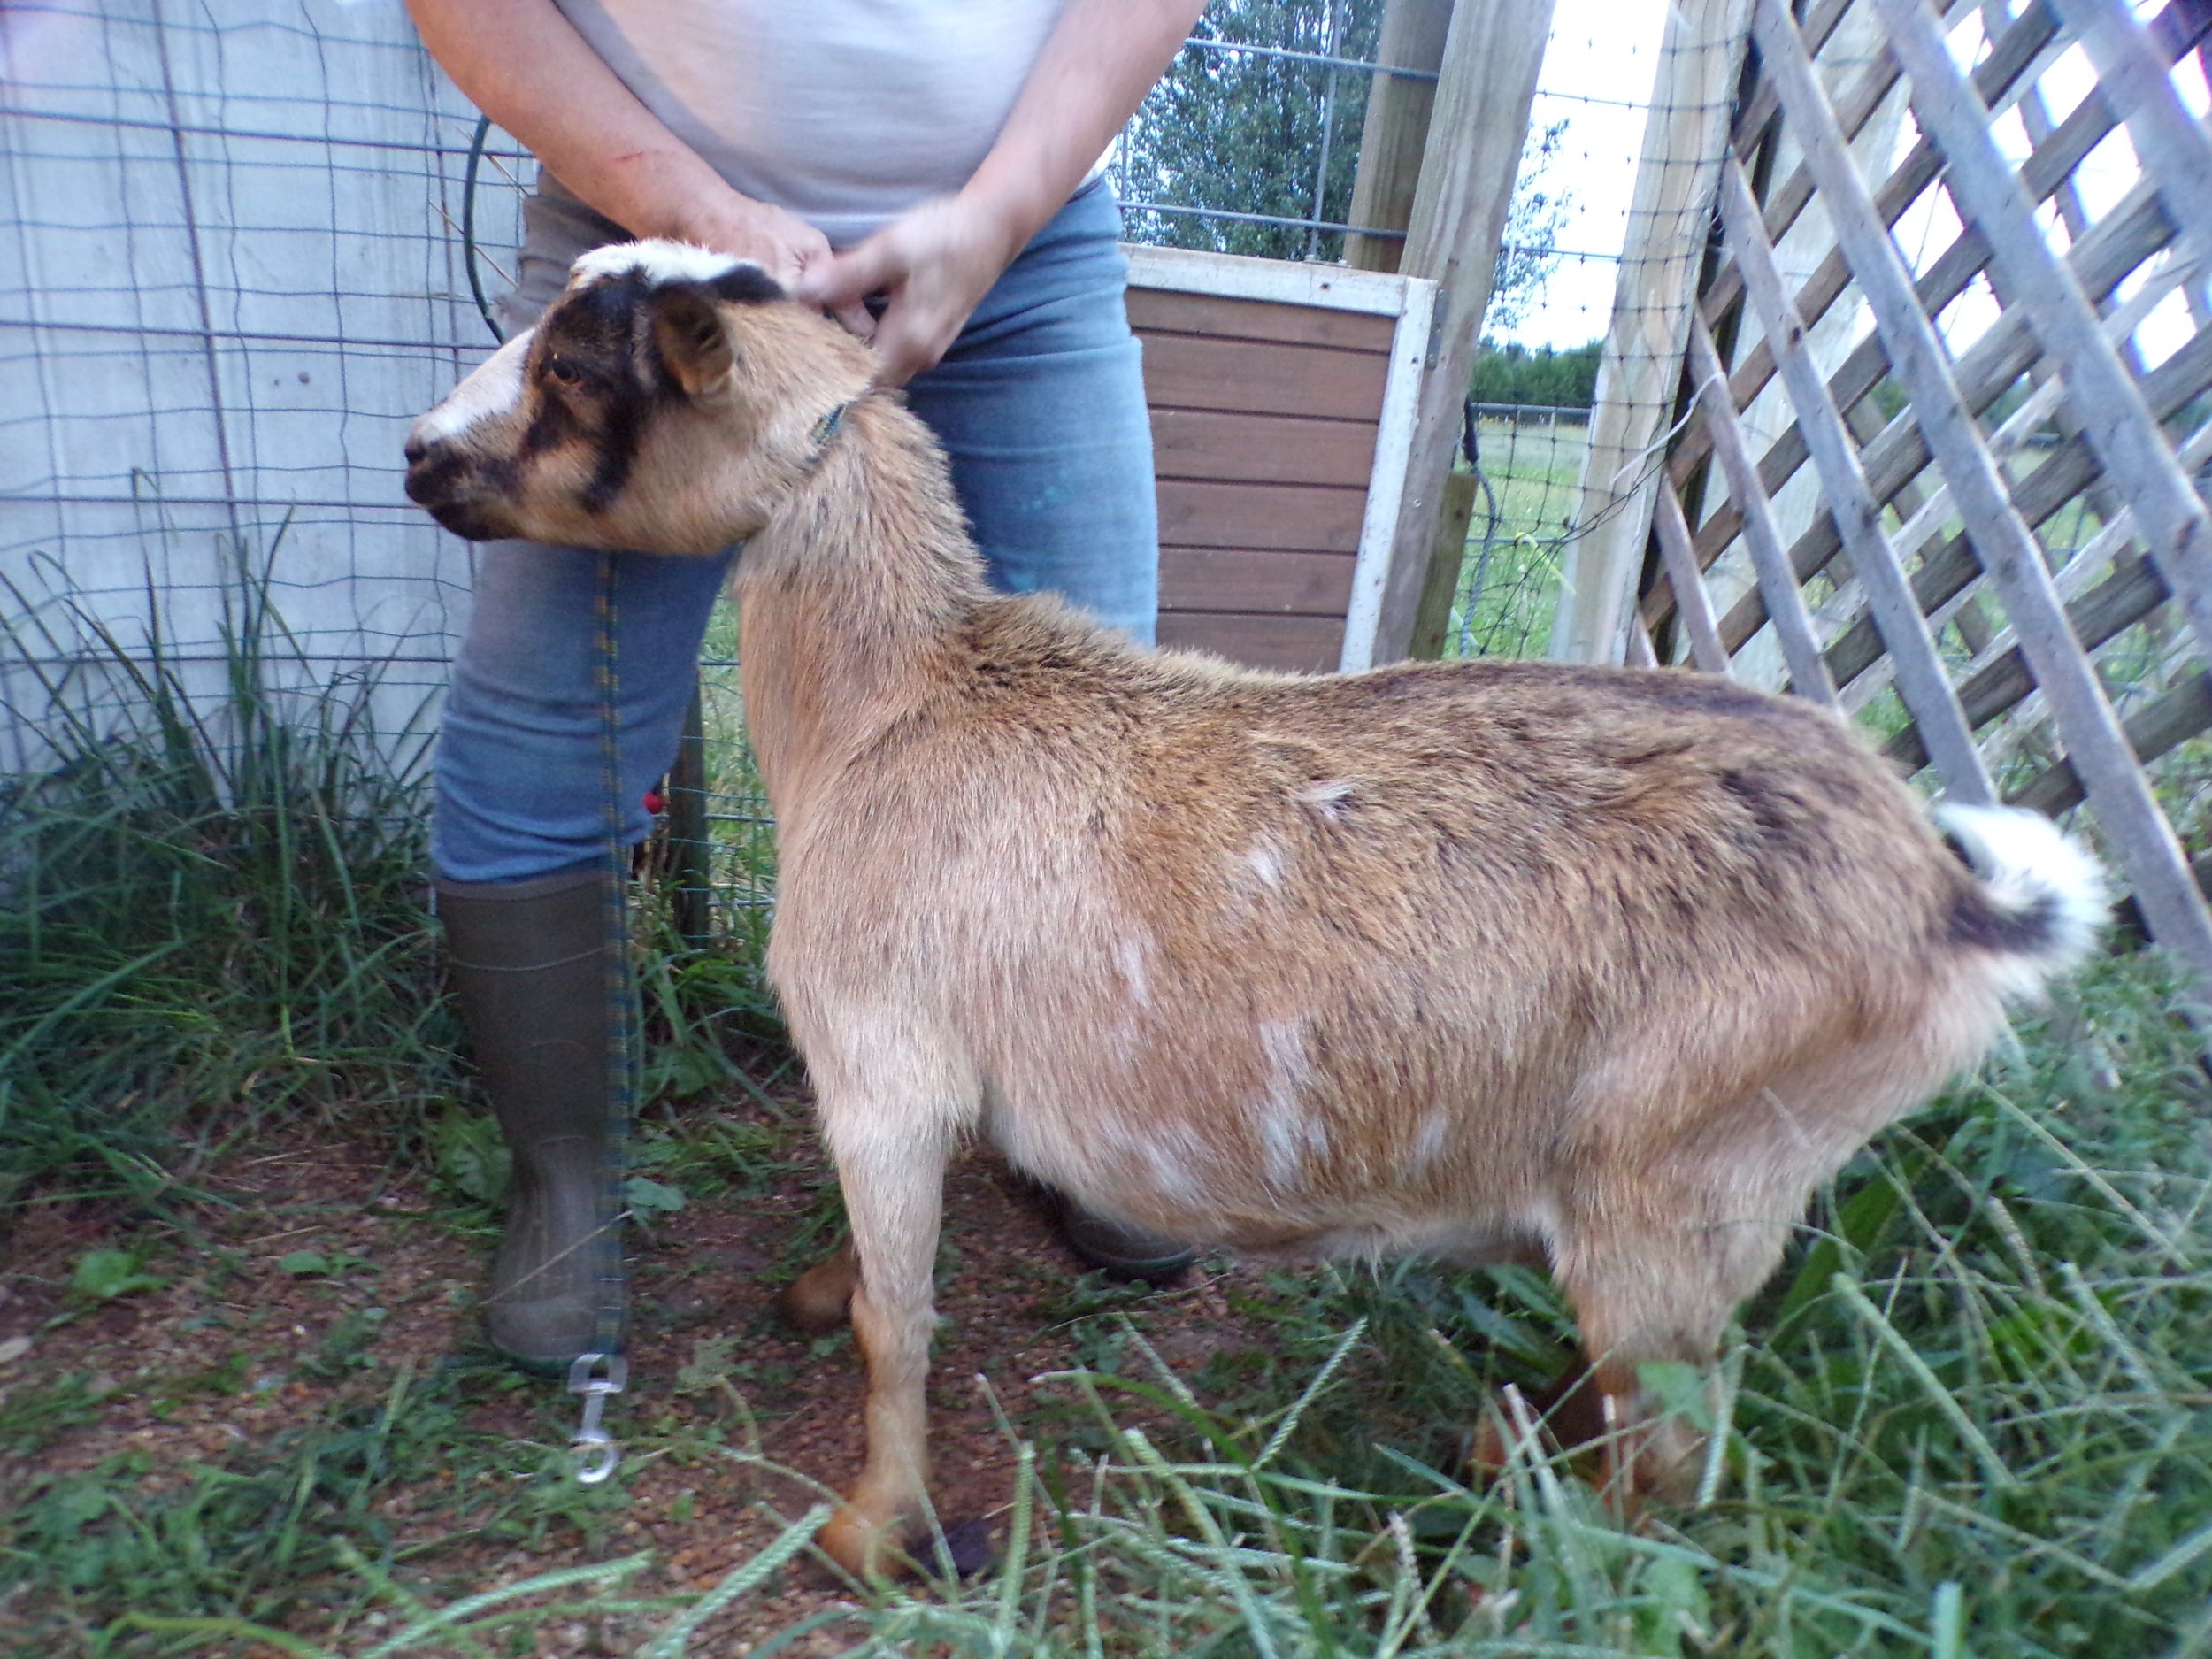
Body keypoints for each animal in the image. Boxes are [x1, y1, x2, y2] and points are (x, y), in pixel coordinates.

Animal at [404, 239, 2109, 1577]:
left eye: (575, 367)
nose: (419, 454)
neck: (892, 707)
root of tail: (1951, 891)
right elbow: (878, 1279)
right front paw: (821, 1294)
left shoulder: (883, 1061)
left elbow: (907, 1326)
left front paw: (871, 1531)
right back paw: (1509, 1463)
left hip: (1690, 1175)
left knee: (1674, 1464)